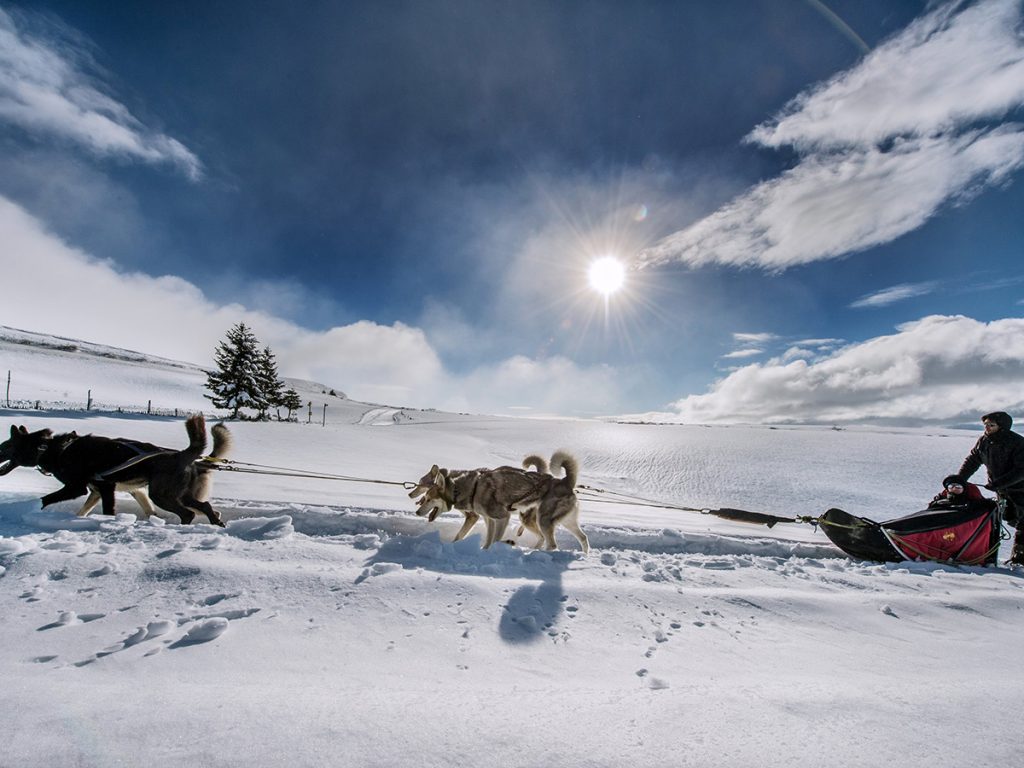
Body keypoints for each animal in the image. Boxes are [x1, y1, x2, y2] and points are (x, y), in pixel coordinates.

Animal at [0, 415, 232, 528]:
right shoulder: (97, 490)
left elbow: (46, 499)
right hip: (179, 494)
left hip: (161, 494)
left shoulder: (83, 488)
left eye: (5, 446)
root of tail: (183, 454)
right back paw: (217, 522)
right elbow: (83, 511)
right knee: (205, 506)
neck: (52, 449)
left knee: (189, 513)